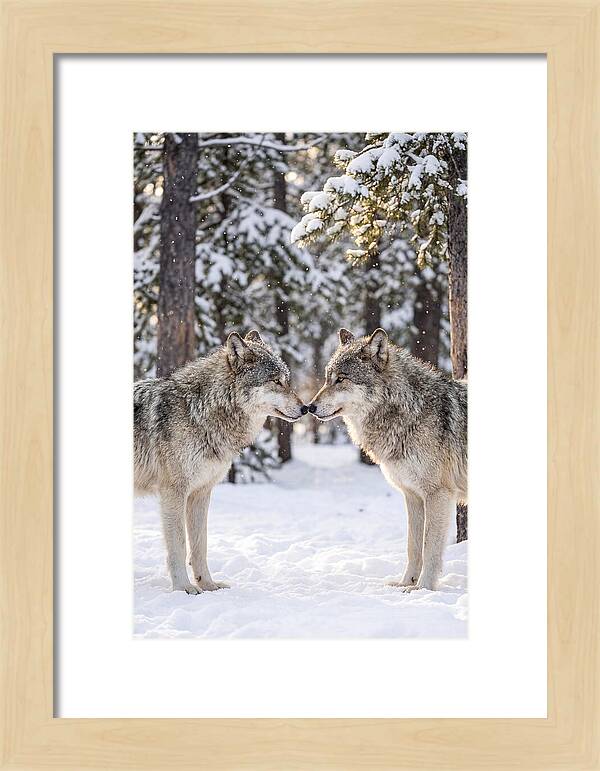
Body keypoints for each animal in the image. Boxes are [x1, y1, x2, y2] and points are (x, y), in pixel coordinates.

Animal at [134, 330, 305, 593]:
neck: (199, 411)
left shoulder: (201, 492)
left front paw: (208, 584)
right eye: (276, 381)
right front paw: (184, 588)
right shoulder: (174, 492)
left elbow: (200, 545)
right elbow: (179, 545)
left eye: (287, 380)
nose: (306, 408)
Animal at [308, 328, 467, 591]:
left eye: (341, 379)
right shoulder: (412, 496)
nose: (309, 407)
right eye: (327, 378)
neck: (410, 411)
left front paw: (423, 588)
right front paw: (405, 583)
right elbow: (413, 546)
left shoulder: (438, 494)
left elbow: (429, 548)